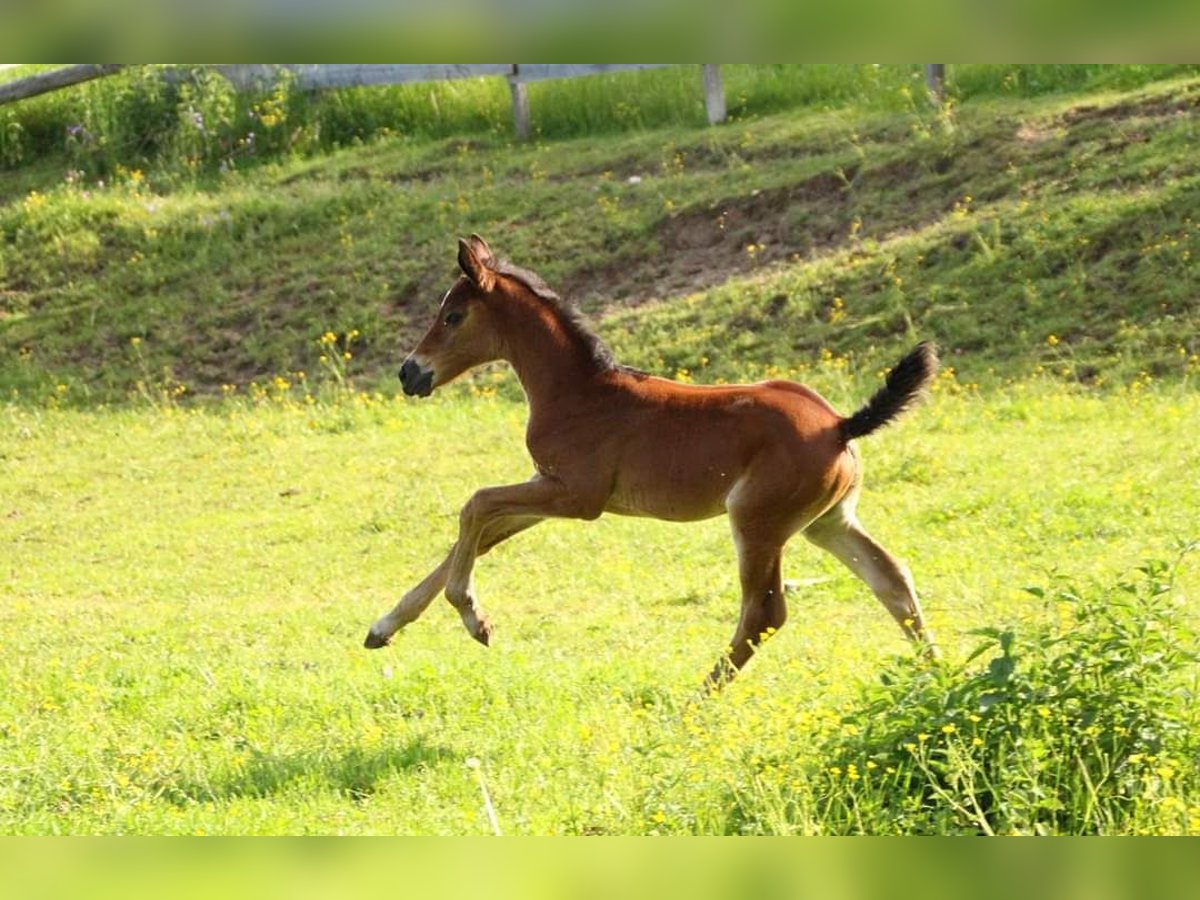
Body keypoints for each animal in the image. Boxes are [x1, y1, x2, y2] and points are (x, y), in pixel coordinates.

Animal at [360, 236, 940, 686]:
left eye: (453, 316)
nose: (409, 373)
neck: (581, 393)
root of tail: (840, 424)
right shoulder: (546, 487)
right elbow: (480, 535)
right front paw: (383, 627)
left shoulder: (577, 496)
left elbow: (475, 506)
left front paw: (474, 618)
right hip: (827, 522)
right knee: (892, 578)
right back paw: (936, 671)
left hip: (758, 523)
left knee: (765, 613)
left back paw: (693, 705)